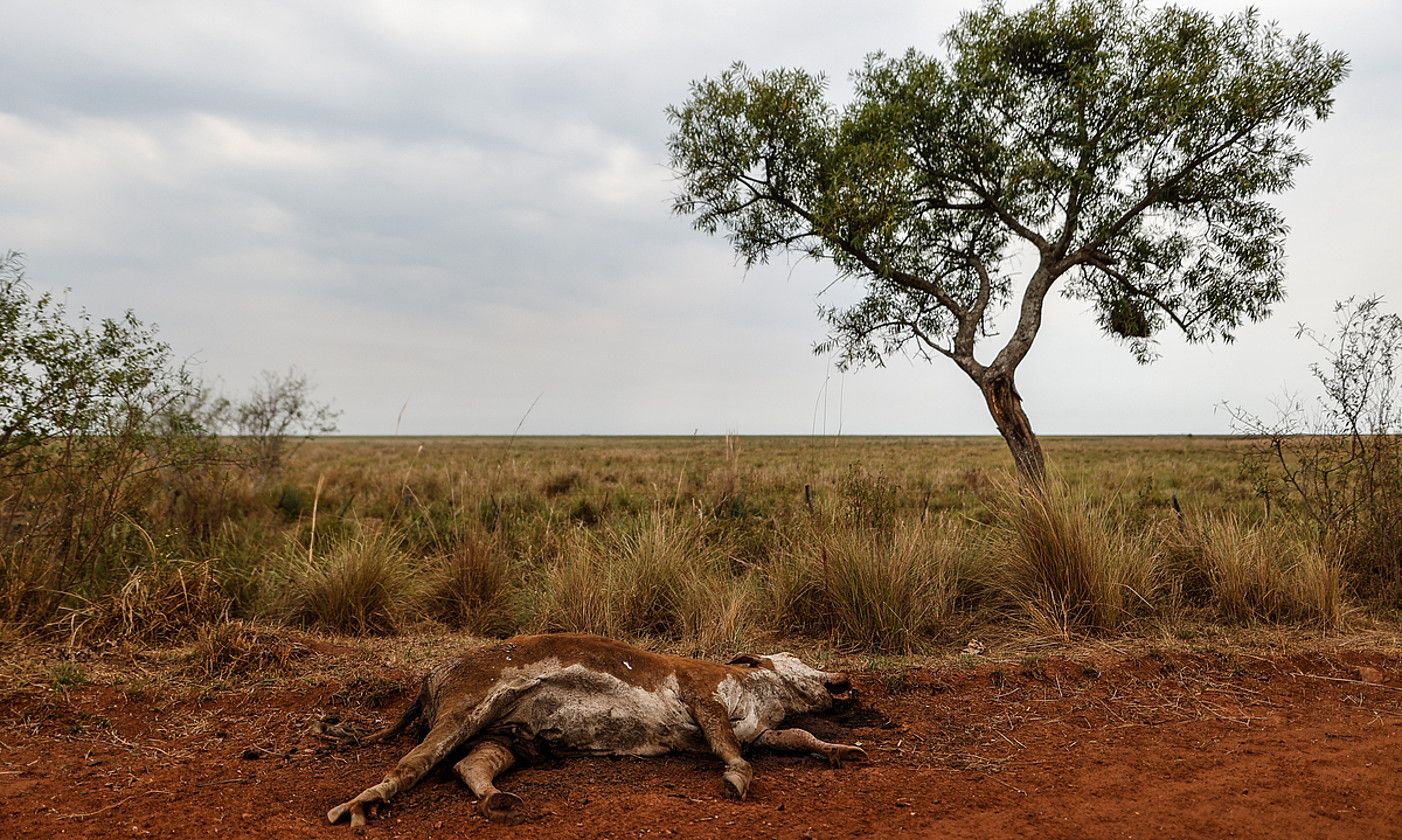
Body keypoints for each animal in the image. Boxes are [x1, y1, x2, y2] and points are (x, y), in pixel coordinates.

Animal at [325, 633, 863, 824]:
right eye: (794, 657)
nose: (840, 677)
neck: (761, 694)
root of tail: (432, 675)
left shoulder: (763, 732)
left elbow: (798, 737)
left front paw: (842, 749)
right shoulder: (702, 693)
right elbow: (730, 748)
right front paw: (736, 777)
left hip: (506, 737)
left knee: (470, 766)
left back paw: (497, 801)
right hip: (466, 709)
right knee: (413, 764)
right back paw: (360, 805)